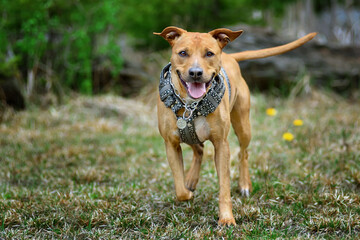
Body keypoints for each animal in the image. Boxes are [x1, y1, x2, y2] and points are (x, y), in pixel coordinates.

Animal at [153, 26, 316, 225]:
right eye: (183, 53)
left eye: (209, 53)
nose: (195, 73)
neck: (191, 105)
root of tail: (230, 57)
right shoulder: (171, 144)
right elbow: (180, 189)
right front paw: (188, 191)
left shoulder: (222, 145)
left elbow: (224, 186)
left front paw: (226, 218)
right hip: (191, 136)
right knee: (199, 149)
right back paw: (191, 179)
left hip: (243, 126)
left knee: (243, 153)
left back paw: (244, 184)